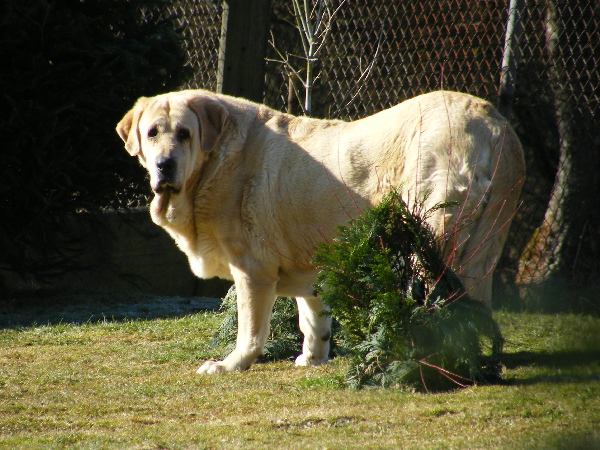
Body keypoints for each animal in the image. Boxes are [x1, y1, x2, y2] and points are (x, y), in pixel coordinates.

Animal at [117, 89, 524, 374]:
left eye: (185, 134)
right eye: (152, 133)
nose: (164, 164)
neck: (211, 165)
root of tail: (494, 124)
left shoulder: (253, 270)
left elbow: (251, 330)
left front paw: (230, 364)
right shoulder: (311, 264)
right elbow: (311, 318)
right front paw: (313, 358)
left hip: (430, 233)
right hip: (486, 241)